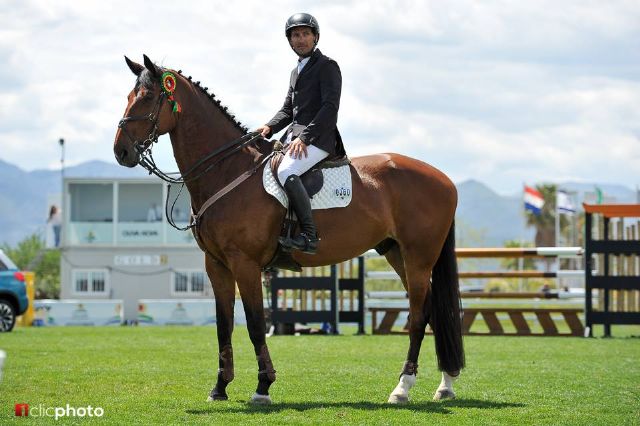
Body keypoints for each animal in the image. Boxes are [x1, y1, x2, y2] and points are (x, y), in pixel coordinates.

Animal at [113, 55, 464, 404]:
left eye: (147, 97)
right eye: (128, 96)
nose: (121, 152)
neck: (228, 170)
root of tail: (445, 179)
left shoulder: (245, 263)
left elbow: (256, 323)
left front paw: (263, 387)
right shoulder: (215, 264)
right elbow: (224, 325)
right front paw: (220, 387)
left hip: (419, 257)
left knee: (419, 316)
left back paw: (402, 388)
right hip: (396, 253)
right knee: (433, 312)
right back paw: (444, 385)